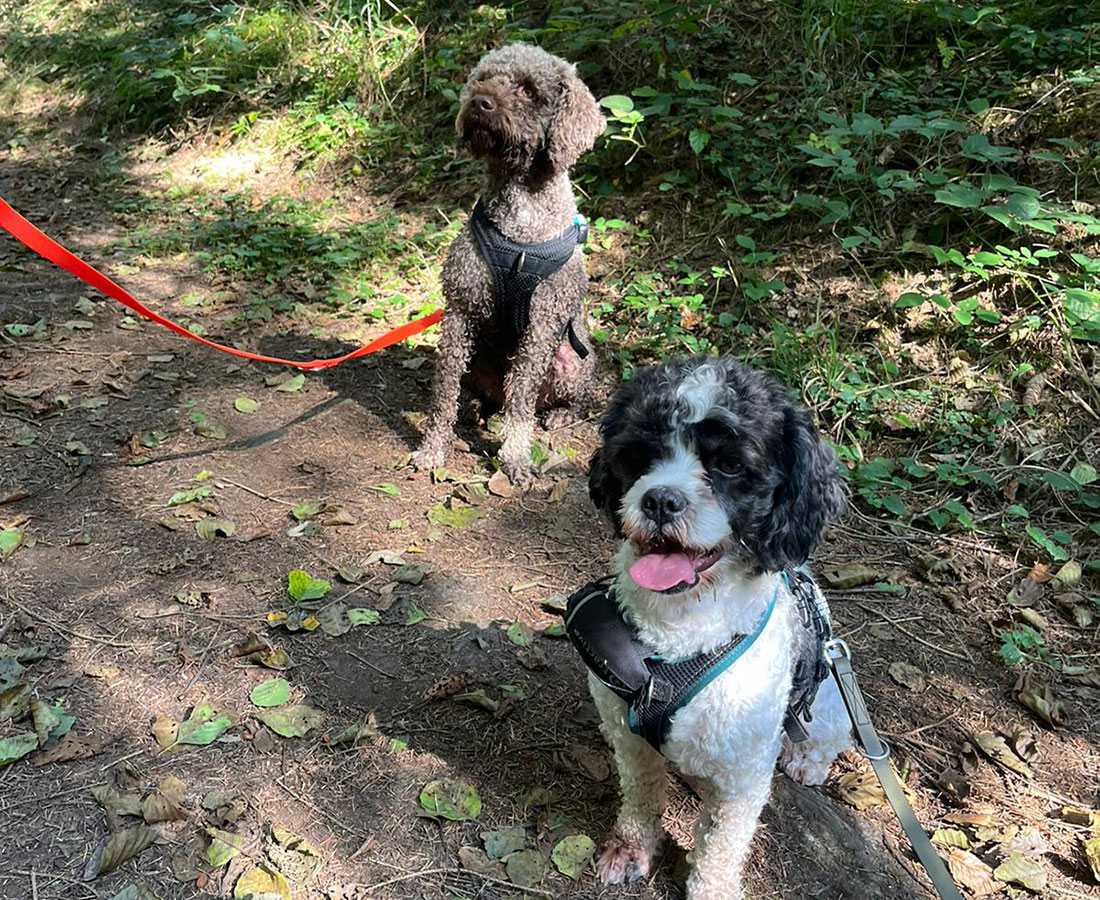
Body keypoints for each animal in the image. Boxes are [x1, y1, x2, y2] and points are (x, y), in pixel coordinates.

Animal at [585, 356, 849, 897]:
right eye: (640, 455)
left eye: (729, 466)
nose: (660, 500)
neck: (680, 631)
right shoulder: (631, 738)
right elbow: (641, 794)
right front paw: (630, 848)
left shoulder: (743, 777)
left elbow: (721, 844)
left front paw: (711, 886)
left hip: (829, 705)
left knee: (828, 739)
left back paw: (807, 761)